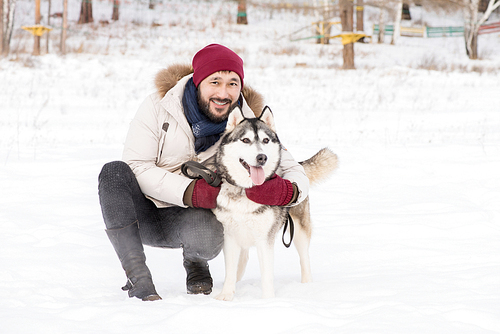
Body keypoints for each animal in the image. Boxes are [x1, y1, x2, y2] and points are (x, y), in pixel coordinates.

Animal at [205, 106, 338, 300]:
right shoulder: (229, 235)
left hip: (300, 230)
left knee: (304, 258)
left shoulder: (265, 238)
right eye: (245, 140)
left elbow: (267, 274)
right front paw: (226, 295)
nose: (262, 157)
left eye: (266, 140)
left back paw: (306, 285)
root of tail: (298, 165)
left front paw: (268, 301)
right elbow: (230, 269)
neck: (245, 190)